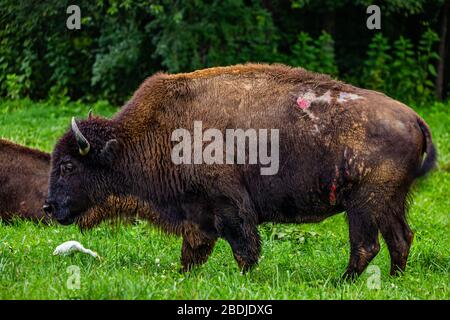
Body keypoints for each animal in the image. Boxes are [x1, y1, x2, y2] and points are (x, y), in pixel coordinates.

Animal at [43, 63, 436, 278]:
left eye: (67, 165)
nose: (48, 206)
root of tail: (413, 118)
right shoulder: (197, 212)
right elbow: (194, 250)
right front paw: (183, 276)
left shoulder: (229, 206)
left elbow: (243, 247)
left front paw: (246, 278)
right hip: (390, 203)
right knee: (401, 238)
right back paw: (393, 280)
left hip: (365, 205)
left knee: (366, 245)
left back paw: (342, 282)